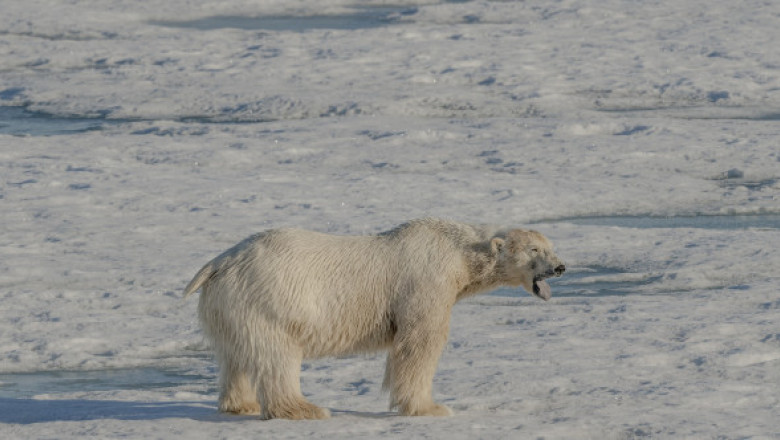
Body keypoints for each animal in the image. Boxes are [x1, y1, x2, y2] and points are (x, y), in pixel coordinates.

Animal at [184, 218, 560, 422]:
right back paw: (306, 408)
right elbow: (419, 342)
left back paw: (241, 404)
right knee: (277, 354)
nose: (560, 267)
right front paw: (431, 407)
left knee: (236, 355)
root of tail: (220, 262)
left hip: (231, 304)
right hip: (269, 297)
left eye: (550, 246)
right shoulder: (425, 281)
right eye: (535, 250)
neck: (459, 252)